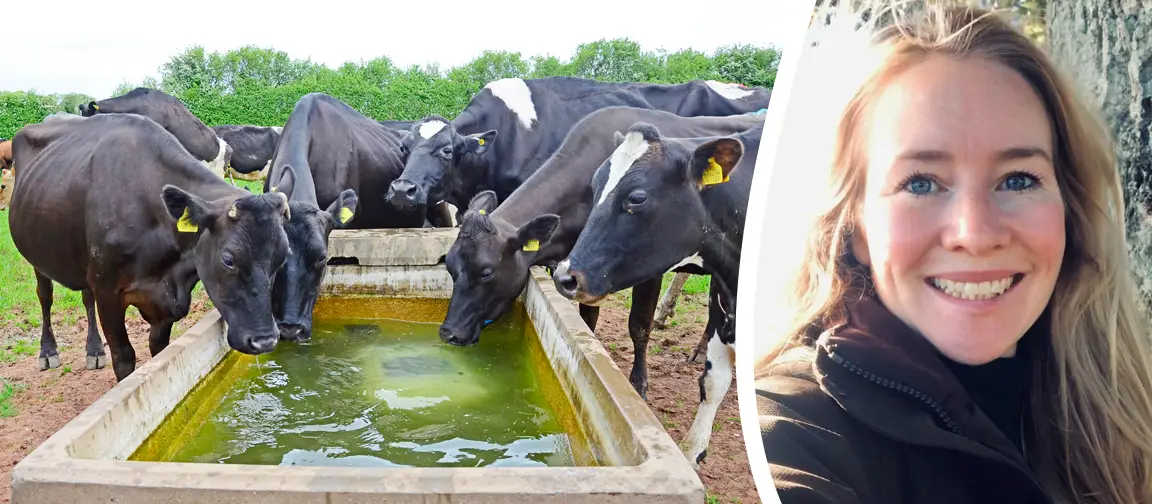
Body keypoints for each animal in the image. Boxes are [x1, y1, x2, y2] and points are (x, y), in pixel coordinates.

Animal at [8, 113, 295, 382]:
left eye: (282, 258)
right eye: (228, 259)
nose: (265, 341)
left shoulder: (165, 301)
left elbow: (159, 350)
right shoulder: (107, 292)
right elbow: (124, 357)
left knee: (85, 295)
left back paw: (94, 351)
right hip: (39, 256)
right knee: (45, 295)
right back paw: (48, 352)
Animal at [439, 106, 763, 401]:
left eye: (486, 271)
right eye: (450, 267)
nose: (448, 332)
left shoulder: (647, 268)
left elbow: (639, 326)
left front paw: (638, 385)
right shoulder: (577, 272)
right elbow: (588, 318)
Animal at [551, 120, 762, 469]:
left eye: (637, 198)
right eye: (594, 187)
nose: (565, 276)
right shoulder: (723, 303)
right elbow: (713, 382)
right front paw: (693, 451)